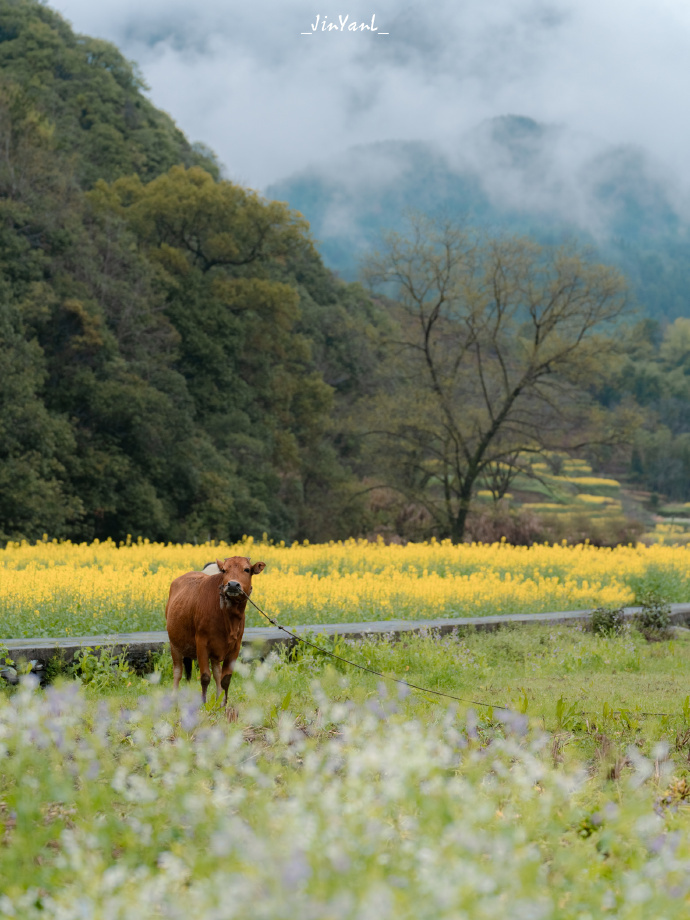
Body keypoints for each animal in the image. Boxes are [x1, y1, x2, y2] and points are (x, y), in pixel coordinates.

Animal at [164, 552, 266, 712]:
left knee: (217, 672)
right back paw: (174, 701)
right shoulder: (201, 643)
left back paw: (218, 698)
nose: (233, 584)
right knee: (178, 672)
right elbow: (205, 677)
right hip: (175, 644)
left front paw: (223, 704)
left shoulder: (235, 647)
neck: (228, 617)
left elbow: (225, 678)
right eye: (224, 570)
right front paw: (203, 703)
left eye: (247, 569)